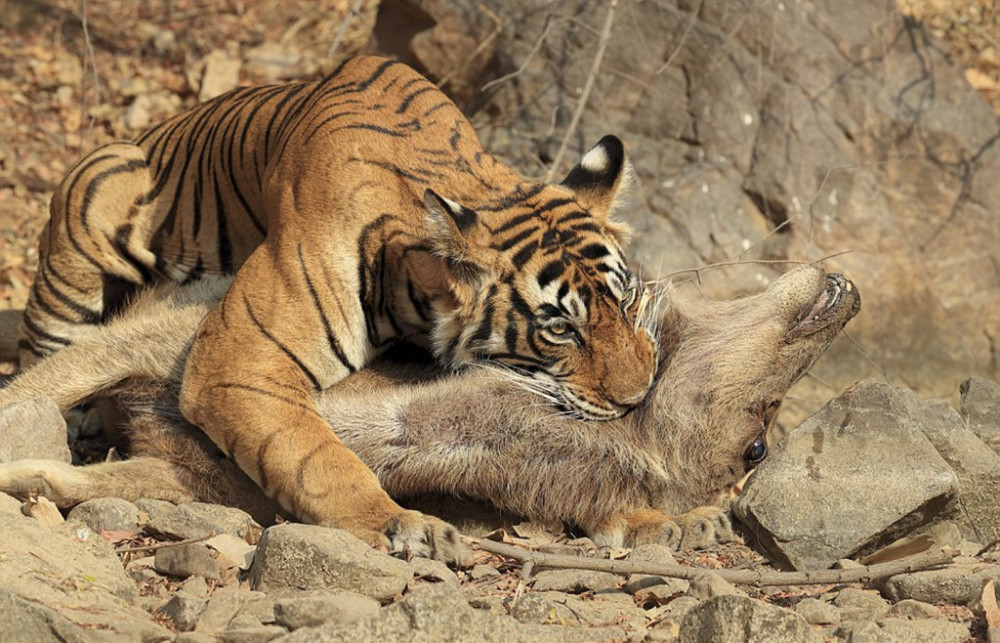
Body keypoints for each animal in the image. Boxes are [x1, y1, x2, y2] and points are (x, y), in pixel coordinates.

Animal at [17, 55, 656, 560]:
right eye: (560, 328)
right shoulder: (237, 361)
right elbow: (314, 455)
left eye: (625, 299)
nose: (639, 396)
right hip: (93, 215)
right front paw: (399, 524)